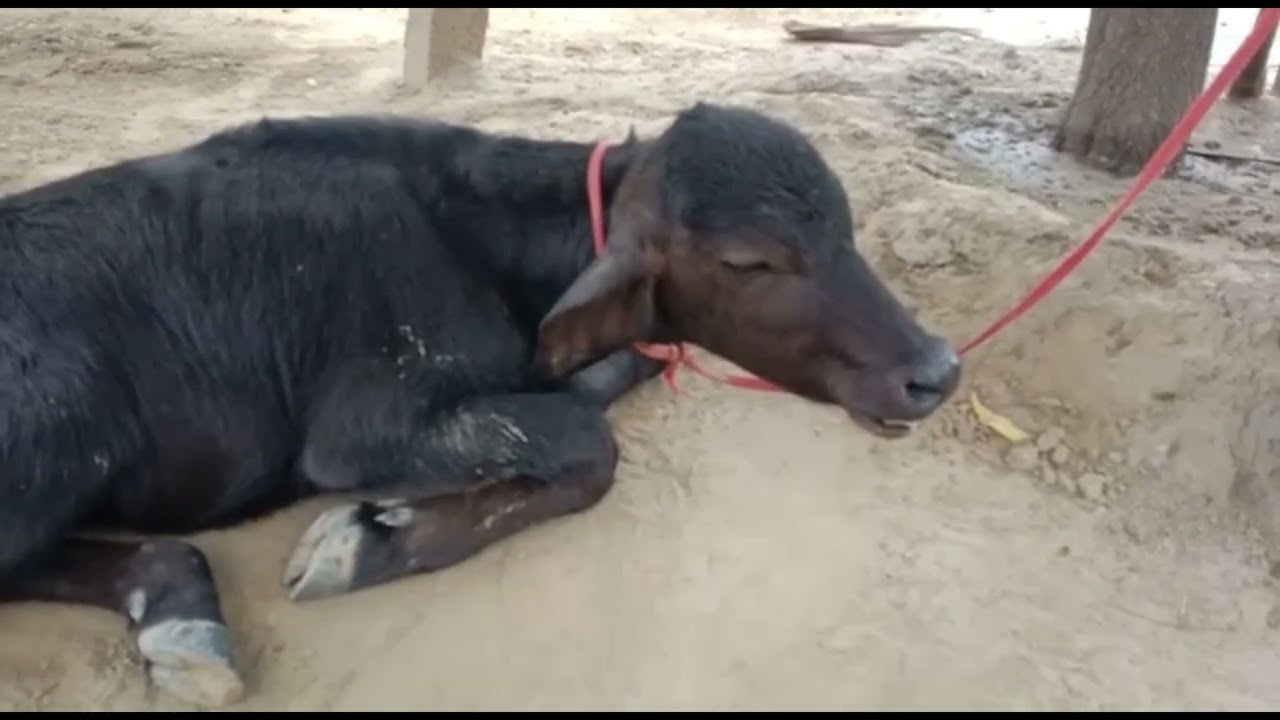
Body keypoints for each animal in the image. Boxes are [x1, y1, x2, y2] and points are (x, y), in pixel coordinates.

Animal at [0, 102, 961, 707]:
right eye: (750, 260)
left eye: (844, 227)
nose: (935, 370)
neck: (477, 240)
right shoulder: (362, 431)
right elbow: (587, 444)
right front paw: (363, 543)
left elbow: (609, 378)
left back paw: (180, 615)